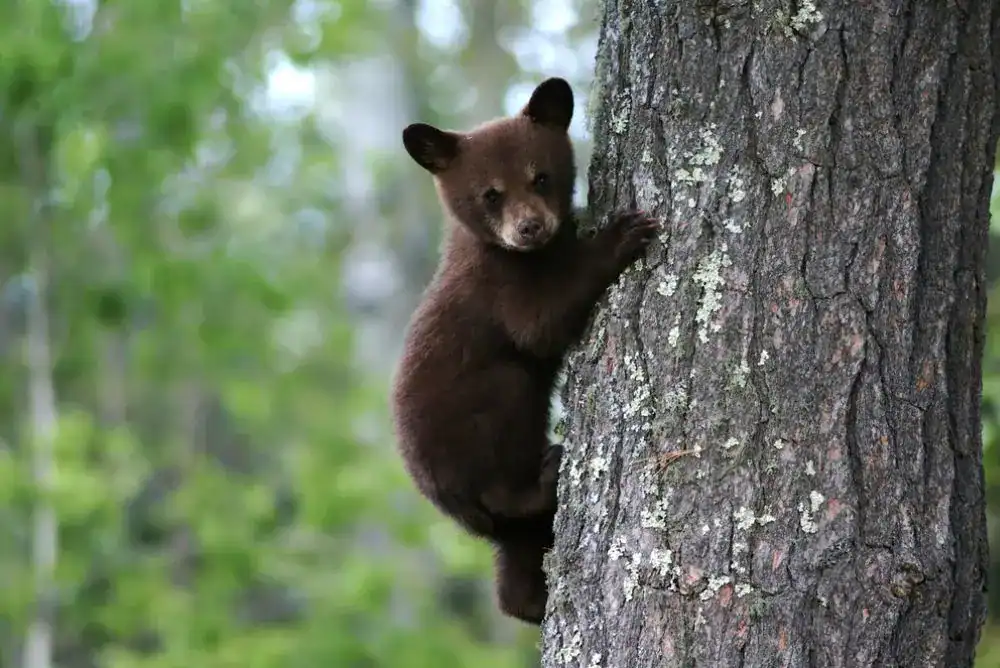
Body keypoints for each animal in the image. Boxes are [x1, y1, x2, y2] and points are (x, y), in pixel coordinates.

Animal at [390, 76, 659, 624]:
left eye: (541, 178)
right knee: (508, 434)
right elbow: (540, 324)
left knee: (515, 561)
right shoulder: (498, 285)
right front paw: (621, 234)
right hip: (476, 429)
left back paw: (530, 601)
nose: (530, 227)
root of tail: (446, 502)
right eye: (490, 194)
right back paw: (545, 474)